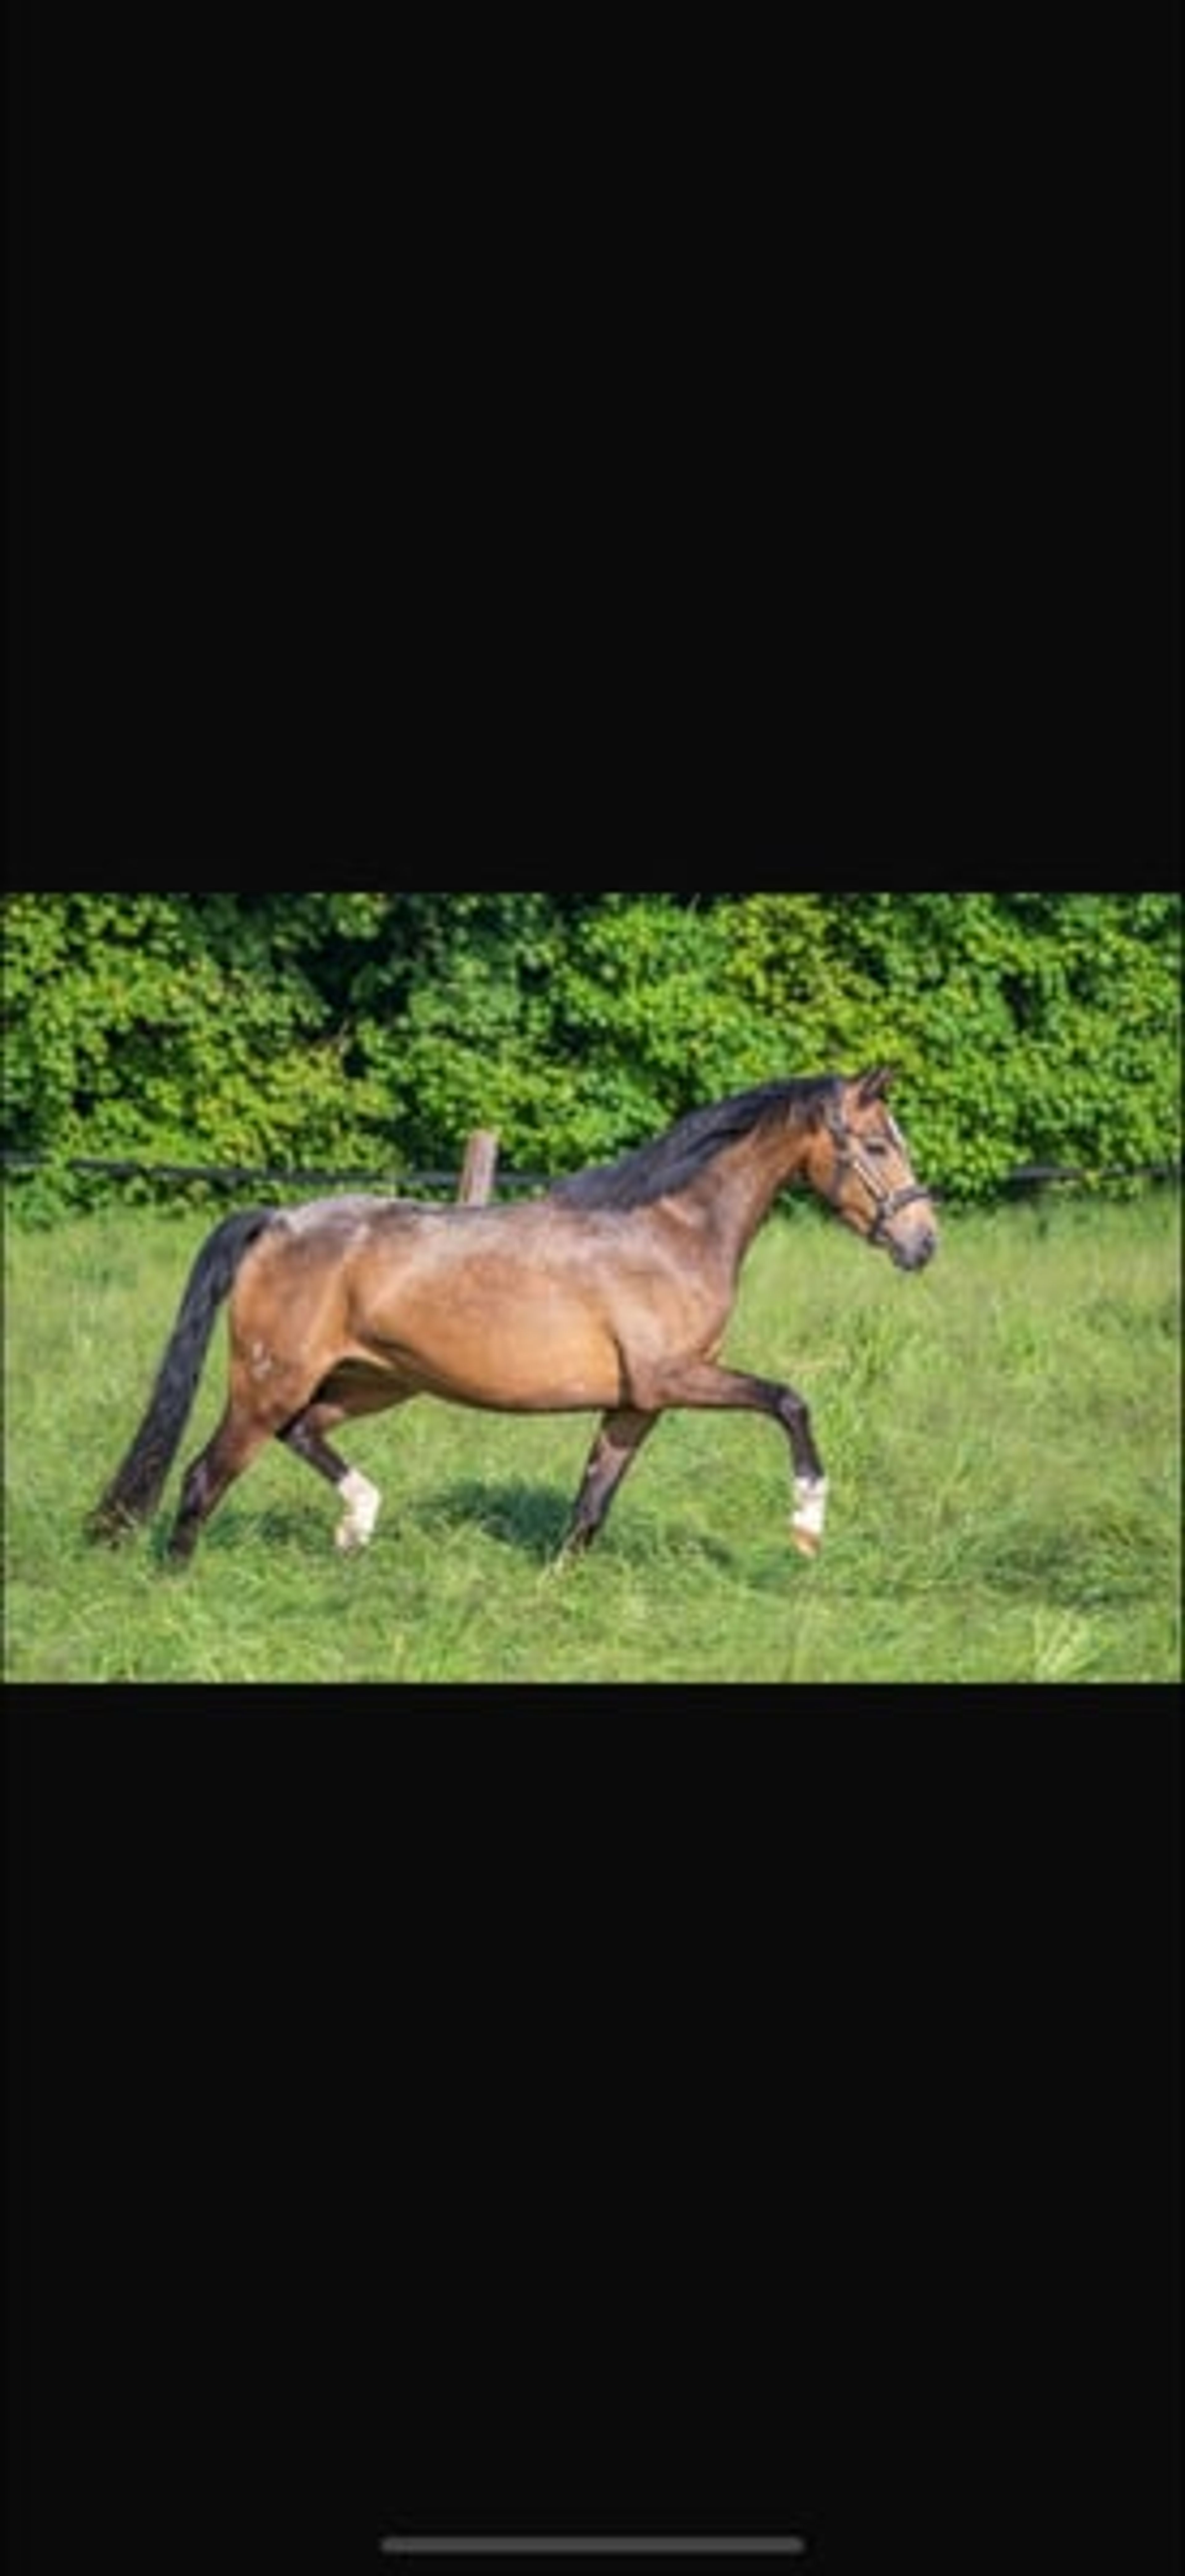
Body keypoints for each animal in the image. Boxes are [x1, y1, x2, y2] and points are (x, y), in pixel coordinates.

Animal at [87, 1066, 937, 1566]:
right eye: (874, 1145)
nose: (923, 1242)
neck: (671, 1232)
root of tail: (277, 1221)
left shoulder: (636, 1403)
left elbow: (589, 1507)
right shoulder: (676, 1376)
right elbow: (790, 1401)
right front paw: (807, 1521)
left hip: (371, 1380)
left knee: (302, 1433)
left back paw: (358, 1522)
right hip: (270, 1382)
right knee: (204, 1477)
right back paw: (178, 1581)